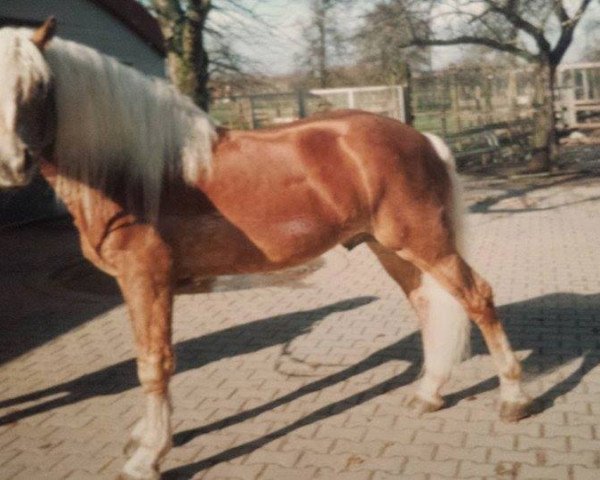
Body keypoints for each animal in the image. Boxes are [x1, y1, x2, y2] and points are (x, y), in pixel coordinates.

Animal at [0, 18, 532, 480]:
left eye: (38, 86)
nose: (12, 165)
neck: (129, 174)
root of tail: (422, 138)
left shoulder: (147, 279)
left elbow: (154, 363)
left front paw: (147, 456)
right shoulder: (133, 286)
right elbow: (146, 359)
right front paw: (145, 439)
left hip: (425, 244)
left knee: (477, 298)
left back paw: (512, 399)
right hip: (393, 250)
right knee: (428, 306)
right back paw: (428, 393)